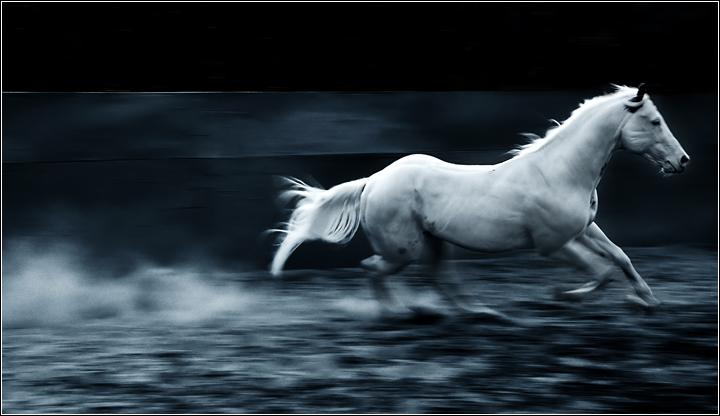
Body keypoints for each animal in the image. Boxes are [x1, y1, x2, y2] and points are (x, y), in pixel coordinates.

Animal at [267, 84, 690, 320]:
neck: (561, 172)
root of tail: (372, 182)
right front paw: (563, 296)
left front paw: (646, 301)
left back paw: (481, 313)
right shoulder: (552, 245)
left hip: (434, 243)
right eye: (654, 121)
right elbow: (601, 272)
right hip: (404, 249)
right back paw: (399, 313)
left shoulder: (583, 229)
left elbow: (620, 258)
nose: (682, 161)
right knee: (372, 268)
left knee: (440, 278)